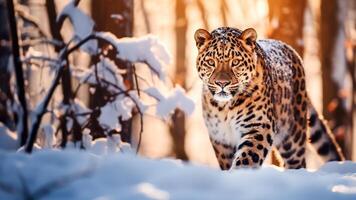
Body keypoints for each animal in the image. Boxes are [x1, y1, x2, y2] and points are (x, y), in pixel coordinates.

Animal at [195, 26, 344, 170]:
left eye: (236, 62)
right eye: (210, 62)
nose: (222, 83)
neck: (225, 107)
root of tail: (289, 48)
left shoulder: (258, 126)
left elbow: (247, 158)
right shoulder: (220, 139)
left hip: (293, 137)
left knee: (297, 163)